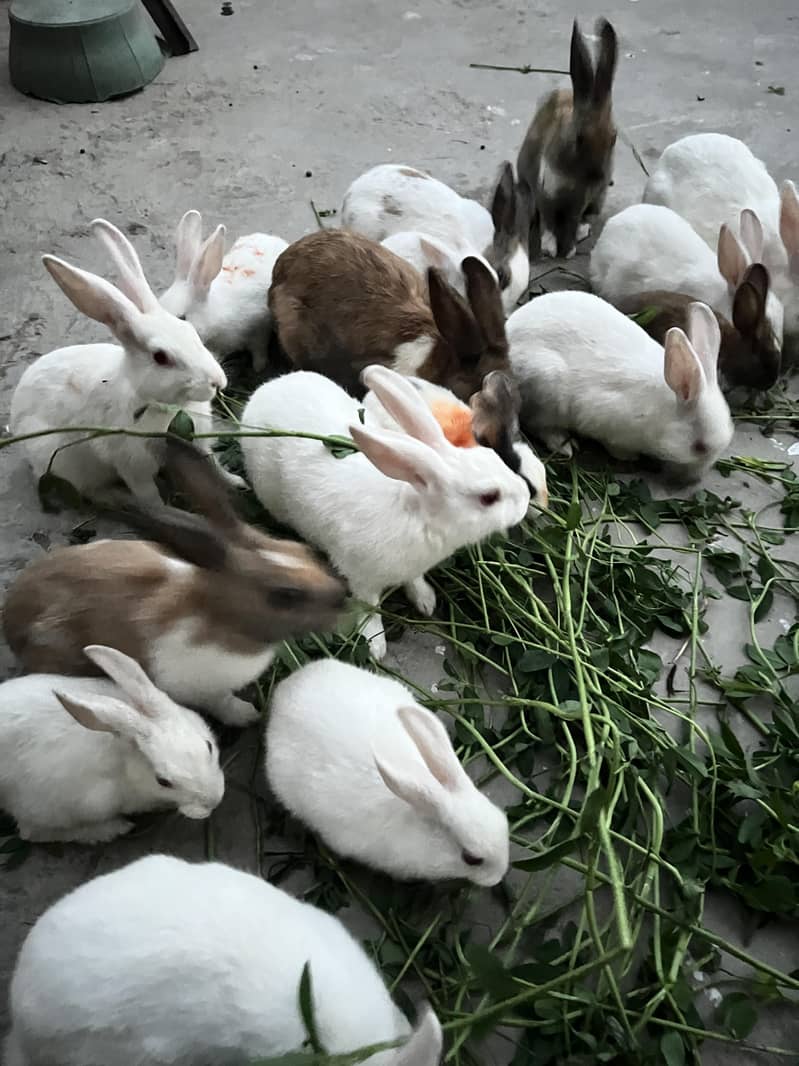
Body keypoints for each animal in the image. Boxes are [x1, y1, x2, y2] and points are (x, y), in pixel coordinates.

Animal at [2, 437, 347, 727]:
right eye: (285, 595)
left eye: (302, 551)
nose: (342, 597)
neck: (218, 619)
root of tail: (11, 612)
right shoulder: (200, 688)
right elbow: (223, 703)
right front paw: (248, 715)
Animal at [9, 219, 238, 510]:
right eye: (161, 357)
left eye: (190, 330)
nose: (217, 382)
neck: (167, 406)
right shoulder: (133, 464)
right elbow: (148, 494)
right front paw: (165, 511)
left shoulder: (200, 442)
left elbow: (214, 463)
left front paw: (237, 482)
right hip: (59, 461)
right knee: (90, 491)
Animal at [240, 364, 530, 660]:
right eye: (489, 497)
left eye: (495, 458)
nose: (526, 498)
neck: (420, 518)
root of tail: (268, 387)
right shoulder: (361, 578)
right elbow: (369, 608)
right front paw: (375, 646)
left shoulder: (411, 569)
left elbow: (414, 581)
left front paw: (426, 601)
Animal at [506, 291, 734, 481]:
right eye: (699, 448)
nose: (694, 480)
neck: (664, 411)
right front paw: (629, 457)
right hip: (546, 389)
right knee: (539, 425)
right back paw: (565, 446)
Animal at [517, 18, 618, 260]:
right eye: (579, 138)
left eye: (614, 138)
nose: (598, 176)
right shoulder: (546, 192)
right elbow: (548, 222)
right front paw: (550, 248)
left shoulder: (580, 201)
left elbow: (571, 222)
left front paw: (569, 249)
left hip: (598, 199)